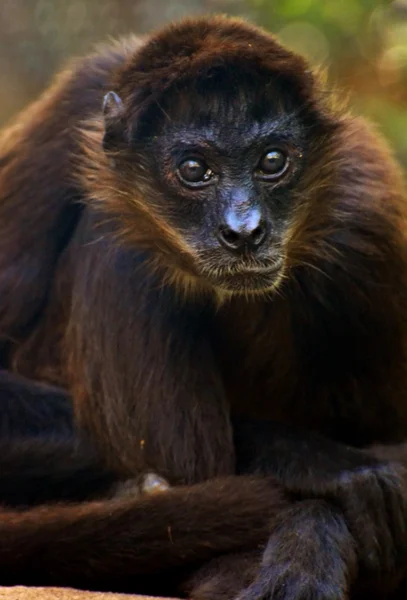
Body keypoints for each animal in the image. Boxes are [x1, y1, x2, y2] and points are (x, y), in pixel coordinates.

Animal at [0, 12, 407, 600]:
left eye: (273, 161)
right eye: (195, 169)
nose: (245, 231)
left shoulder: (370, 220)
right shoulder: (73, 105)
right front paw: (319, 465)